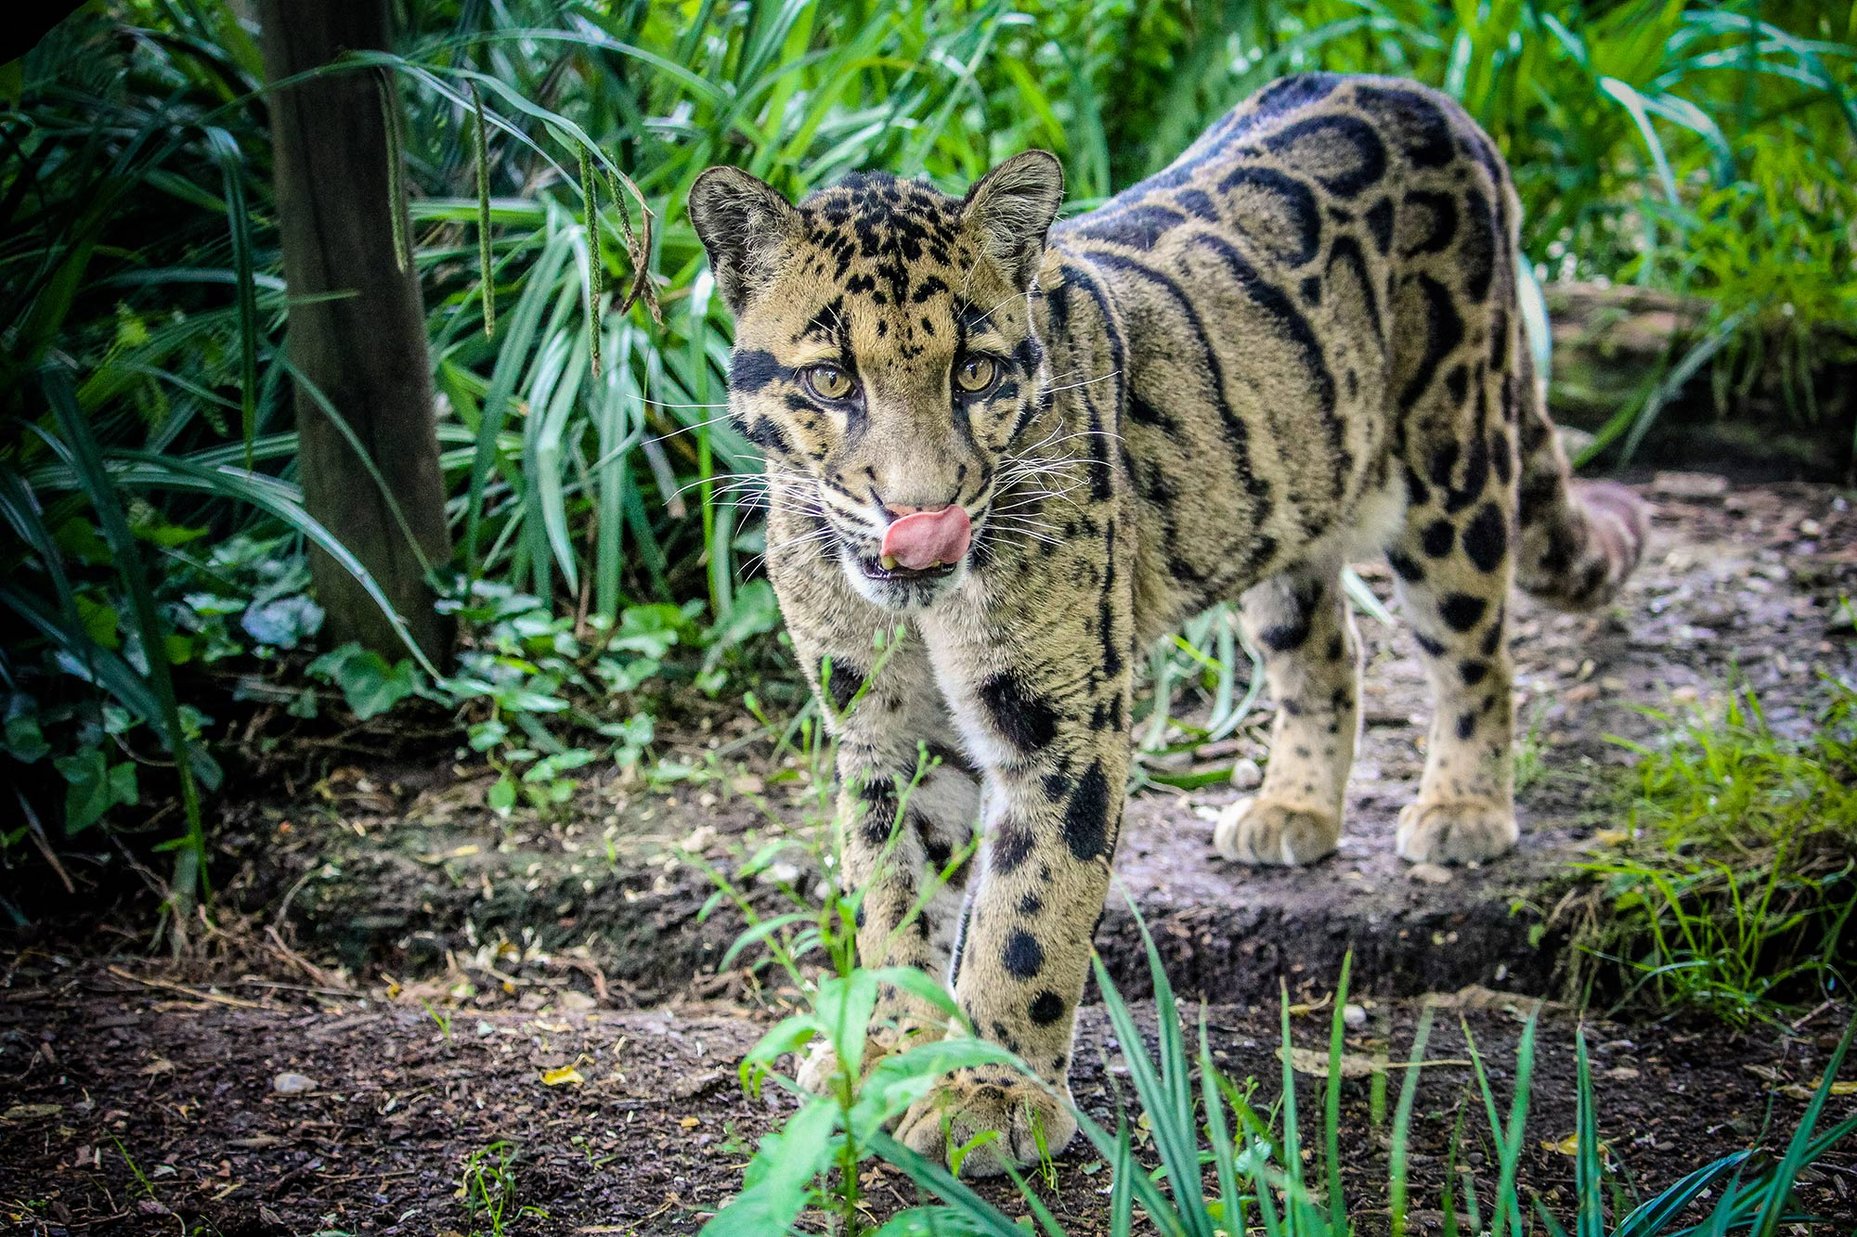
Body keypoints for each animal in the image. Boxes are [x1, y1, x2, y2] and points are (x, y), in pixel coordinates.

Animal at [690, 69, 1649, 1173]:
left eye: (973, 371)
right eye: (831, 380)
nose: (922, 514)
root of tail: (1419, 92)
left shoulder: (1057, 716)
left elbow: (1027, 914)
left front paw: (990, 1096)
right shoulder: (880, 727)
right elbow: (891, 898)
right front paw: (888, 1054)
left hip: (1453, 462)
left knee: (1475, 651)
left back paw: (1461, 808)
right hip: (1282, 498)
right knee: (1326, 652)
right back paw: (1293, 809)